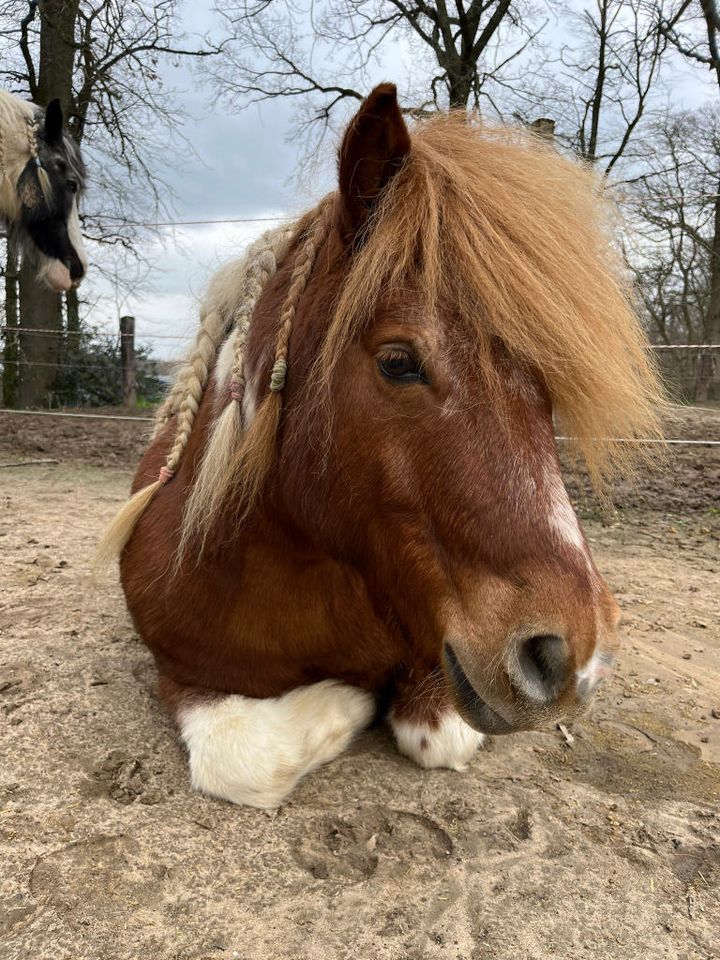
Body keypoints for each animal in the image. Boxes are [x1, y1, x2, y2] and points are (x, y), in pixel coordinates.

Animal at [102, 84, 664, 808]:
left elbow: (437, 729)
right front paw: (345, 702)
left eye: (546, 378)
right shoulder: (180, 672)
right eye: (399, 362)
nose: (571, 657)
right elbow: (246, 758)